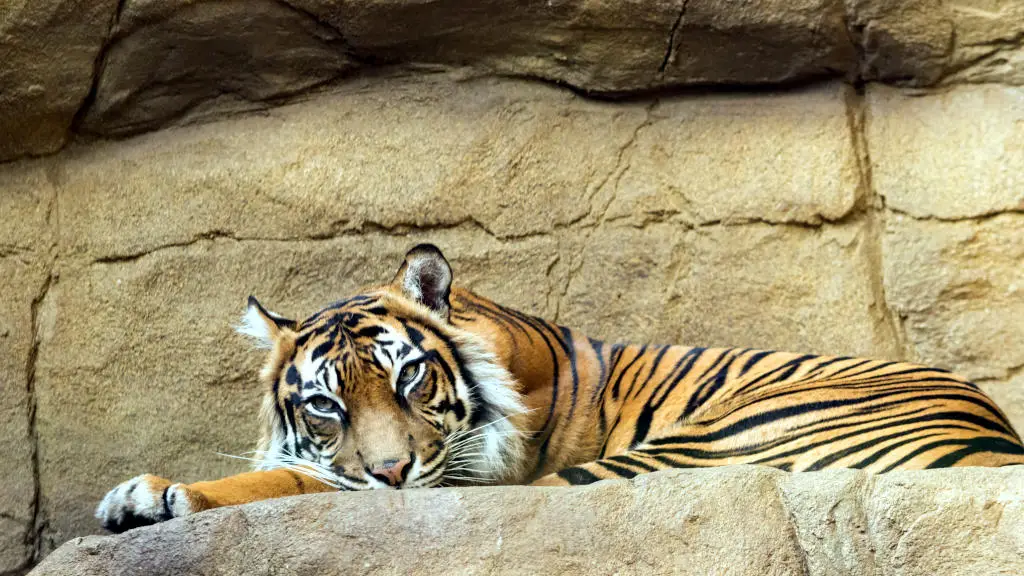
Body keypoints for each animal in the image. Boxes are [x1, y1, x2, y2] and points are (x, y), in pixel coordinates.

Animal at [96, 240, 1024, 528]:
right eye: (325, 403)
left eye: (409, 378)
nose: (393, 471)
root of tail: (996, 436)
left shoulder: (463, 477)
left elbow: (297, 481)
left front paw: (154, 493)